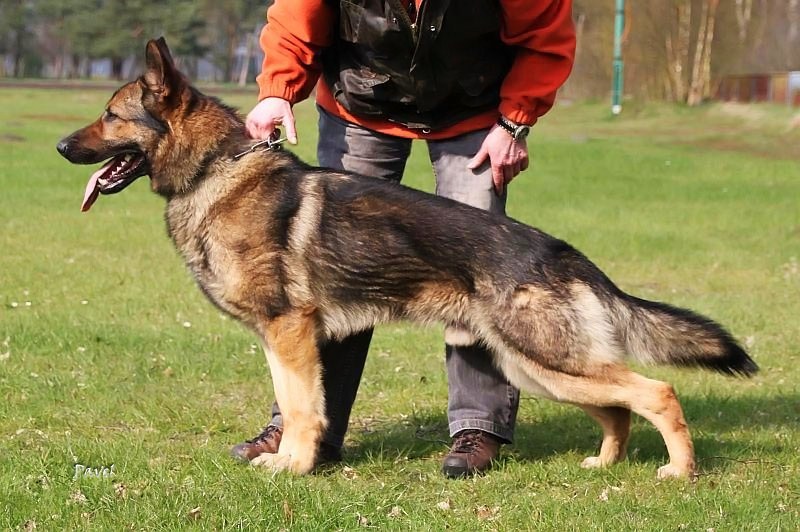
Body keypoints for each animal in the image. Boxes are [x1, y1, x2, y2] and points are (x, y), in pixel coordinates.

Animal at [56, 37, 756, 478]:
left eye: (110, 115)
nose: (61, 146)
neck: (212, 172)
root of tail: (565, 253)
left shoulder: (289, 332)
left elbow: (304, 407)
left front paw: (292, 467)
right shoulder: (283, 341)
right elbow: (296, 401)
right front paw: (286, 456)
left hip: (546, 360)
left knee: (657, 391)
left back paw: (679, 471)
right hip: (537, 367)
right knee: (616, 407)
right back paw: (603, 464)